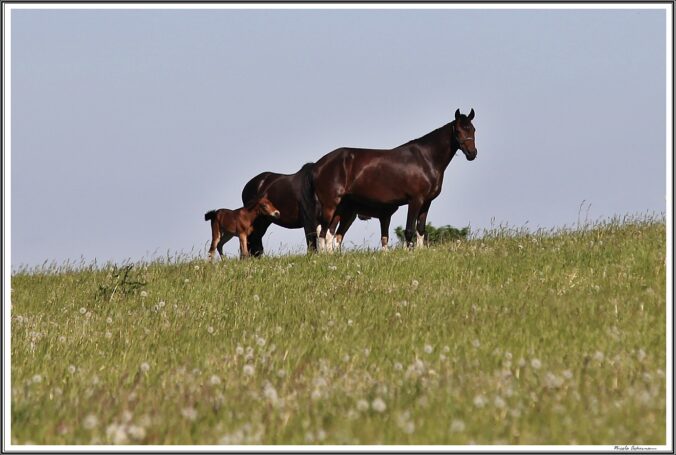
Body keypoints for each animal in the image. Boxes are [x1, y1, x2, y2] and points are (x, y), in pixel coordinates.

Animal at [306, 108, 476, 248]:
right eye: (458, 130)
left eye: (473, 129)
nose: (472, 154)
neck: (426, 159)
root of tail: (317, 166)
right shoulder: (415, 200)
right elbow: (409, 230)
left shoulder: (426, 202)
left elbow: (421, 230)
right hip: (330, 204)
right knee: (322, 232)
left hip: (341, 207)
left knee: (330, 233)